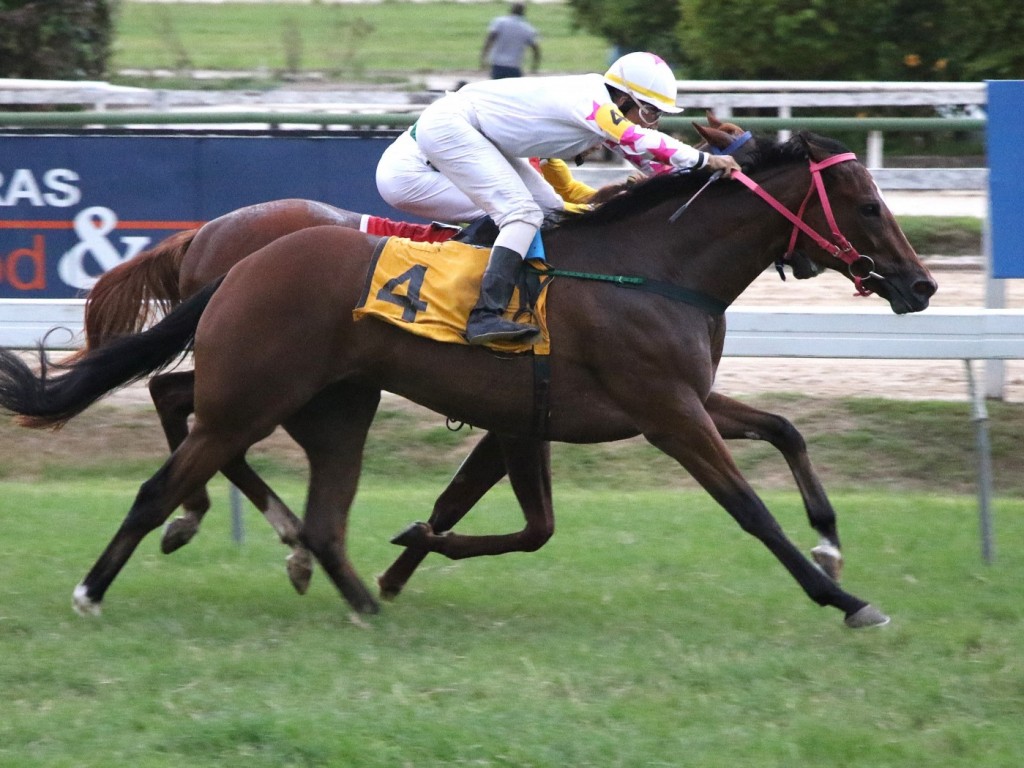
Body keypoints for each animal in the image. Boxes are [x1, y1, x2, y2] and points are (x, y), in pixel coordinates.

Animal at [2, 132, 937, 630]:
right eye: (867, 206)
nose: (922, 285)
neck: (655, 269)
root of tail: (226, 252)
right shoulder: (666, 412)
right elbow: (745, 507)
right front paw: (841, 594)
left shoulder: (624, 406)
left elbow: (784, 428)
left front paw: (829, 538)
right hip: (255, 391)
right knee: (173, 450)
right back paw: (133, 567)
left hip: (325, 401)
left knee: (241, 455)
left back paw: (316, 566)